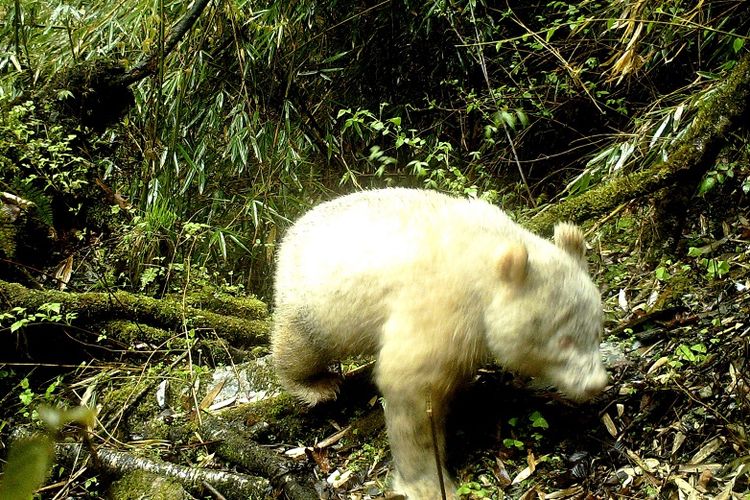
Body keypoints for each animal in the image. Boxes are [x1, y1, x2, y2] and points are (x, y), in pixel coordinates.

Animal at [272, 188, 612, 500]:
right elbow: (410, 385)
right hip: (314, 301)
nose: (595, 383)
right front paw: (428, 484)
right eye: (564, 340)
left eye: (597, 330)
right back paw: (315, 385)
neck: (486, 259)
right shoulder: (441, 303)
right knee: (300, 346)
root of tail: (291, 231)